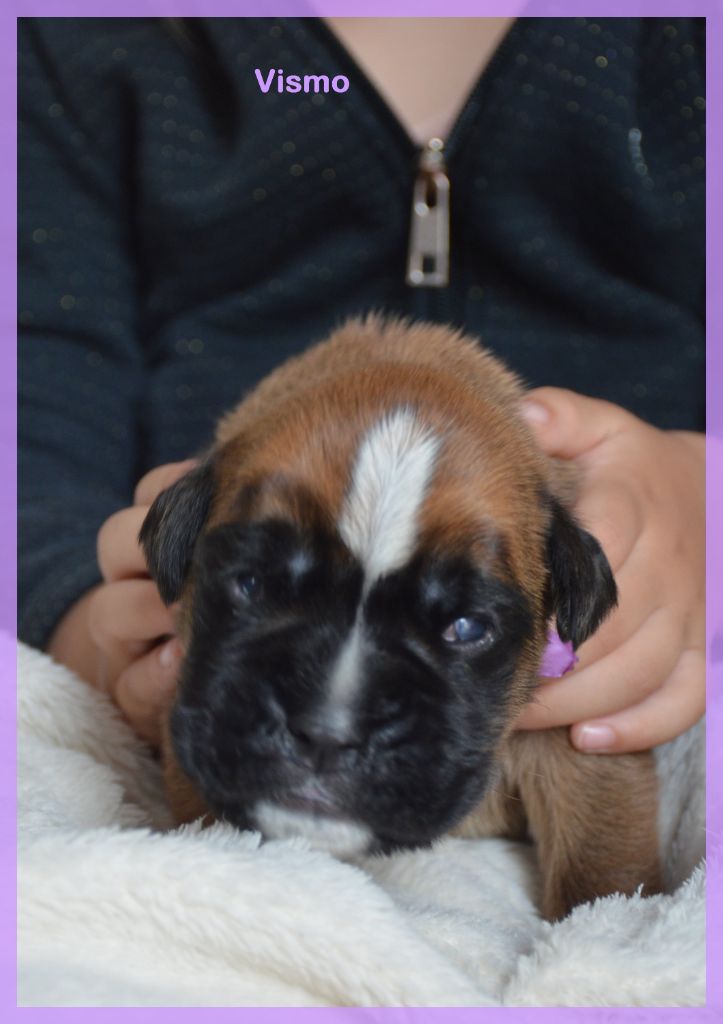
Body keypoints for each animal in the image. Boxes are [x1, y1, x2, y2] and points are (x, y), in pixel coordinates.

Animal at [140, 316, 662, 921]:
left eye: (465, 627)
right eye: (252, 586)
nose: (327, 733)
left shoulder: (584, 750)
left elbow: (601, 871)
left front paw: (608, 924)